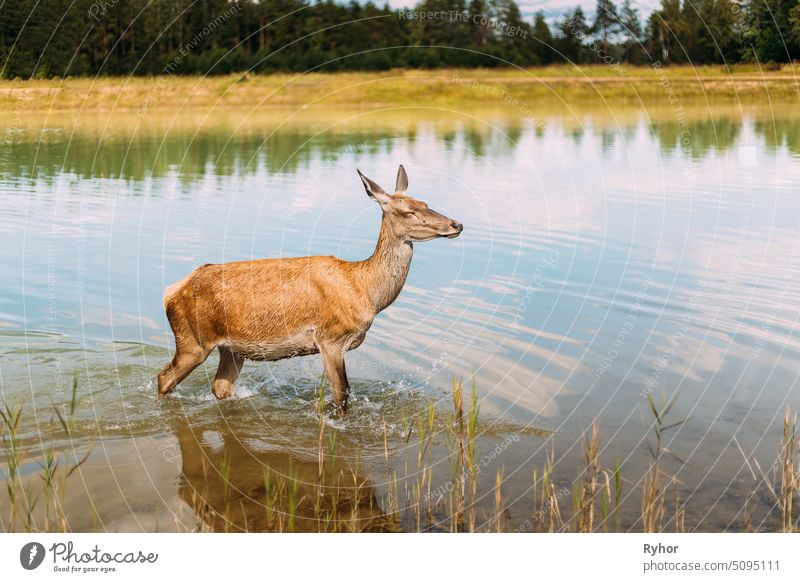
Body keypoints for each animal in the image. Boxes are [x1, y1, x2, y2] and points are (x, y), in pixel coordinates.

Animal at [156, 165, 462, 416]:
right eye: (408, 211)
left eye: (425, 203)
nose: (456, 224)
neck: (366, 290)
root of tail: (170, 291)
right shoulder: (331, 339)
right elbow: (342, 396)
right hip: (193, 340)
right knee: (163, 378)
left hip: (231, 349)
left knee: (220, 387)